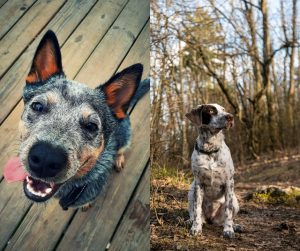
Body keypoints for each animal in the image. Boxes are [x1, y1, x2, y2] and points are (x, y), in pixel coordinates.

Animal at [186, 103, 240, 239]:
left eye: (223, 110)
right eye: (211, 111)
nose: (230, 117)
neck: (210, 149)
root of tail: (211, 218)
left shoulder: (229, 182)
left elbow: (228, 211)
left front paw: (228, 230)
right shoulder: (198, 183)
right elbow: (196, 209)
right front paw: (196, 228)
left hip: (235, 201)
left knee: (225, 218)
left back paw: (235, 226)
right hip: (191, 191)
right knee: (194, 213)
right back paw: (190, 221)